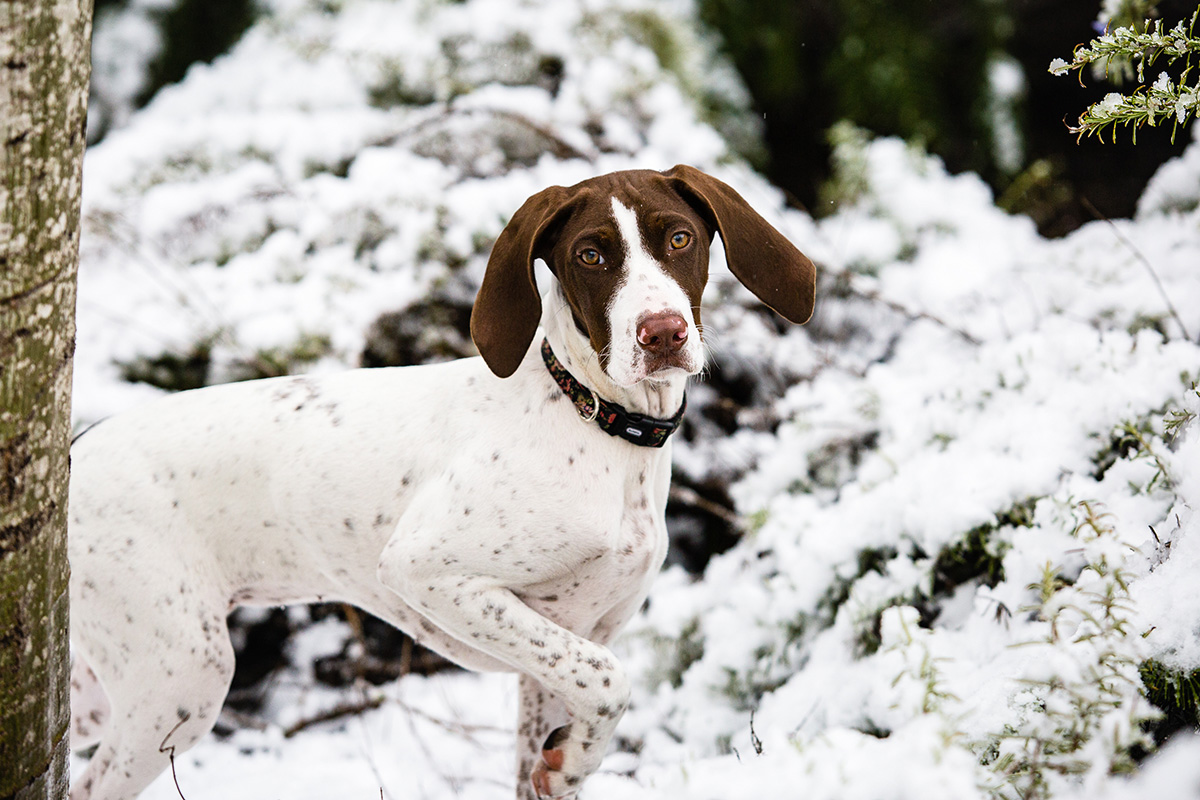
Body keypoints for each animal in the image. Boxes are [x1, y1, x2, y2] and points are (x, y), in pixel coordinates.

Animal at [68, 164, 816, 800]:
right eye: (591, 256)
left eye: (680, 238)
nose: (661, 334)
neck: (597, 425)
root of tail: (74, 455)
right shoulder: (429, 570)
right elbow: (611, 681)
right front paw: (573, 758)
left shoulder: (563, 643)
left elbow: (563, 730)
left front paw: (567, 764)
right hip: (180, 676)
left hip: (96, 681)